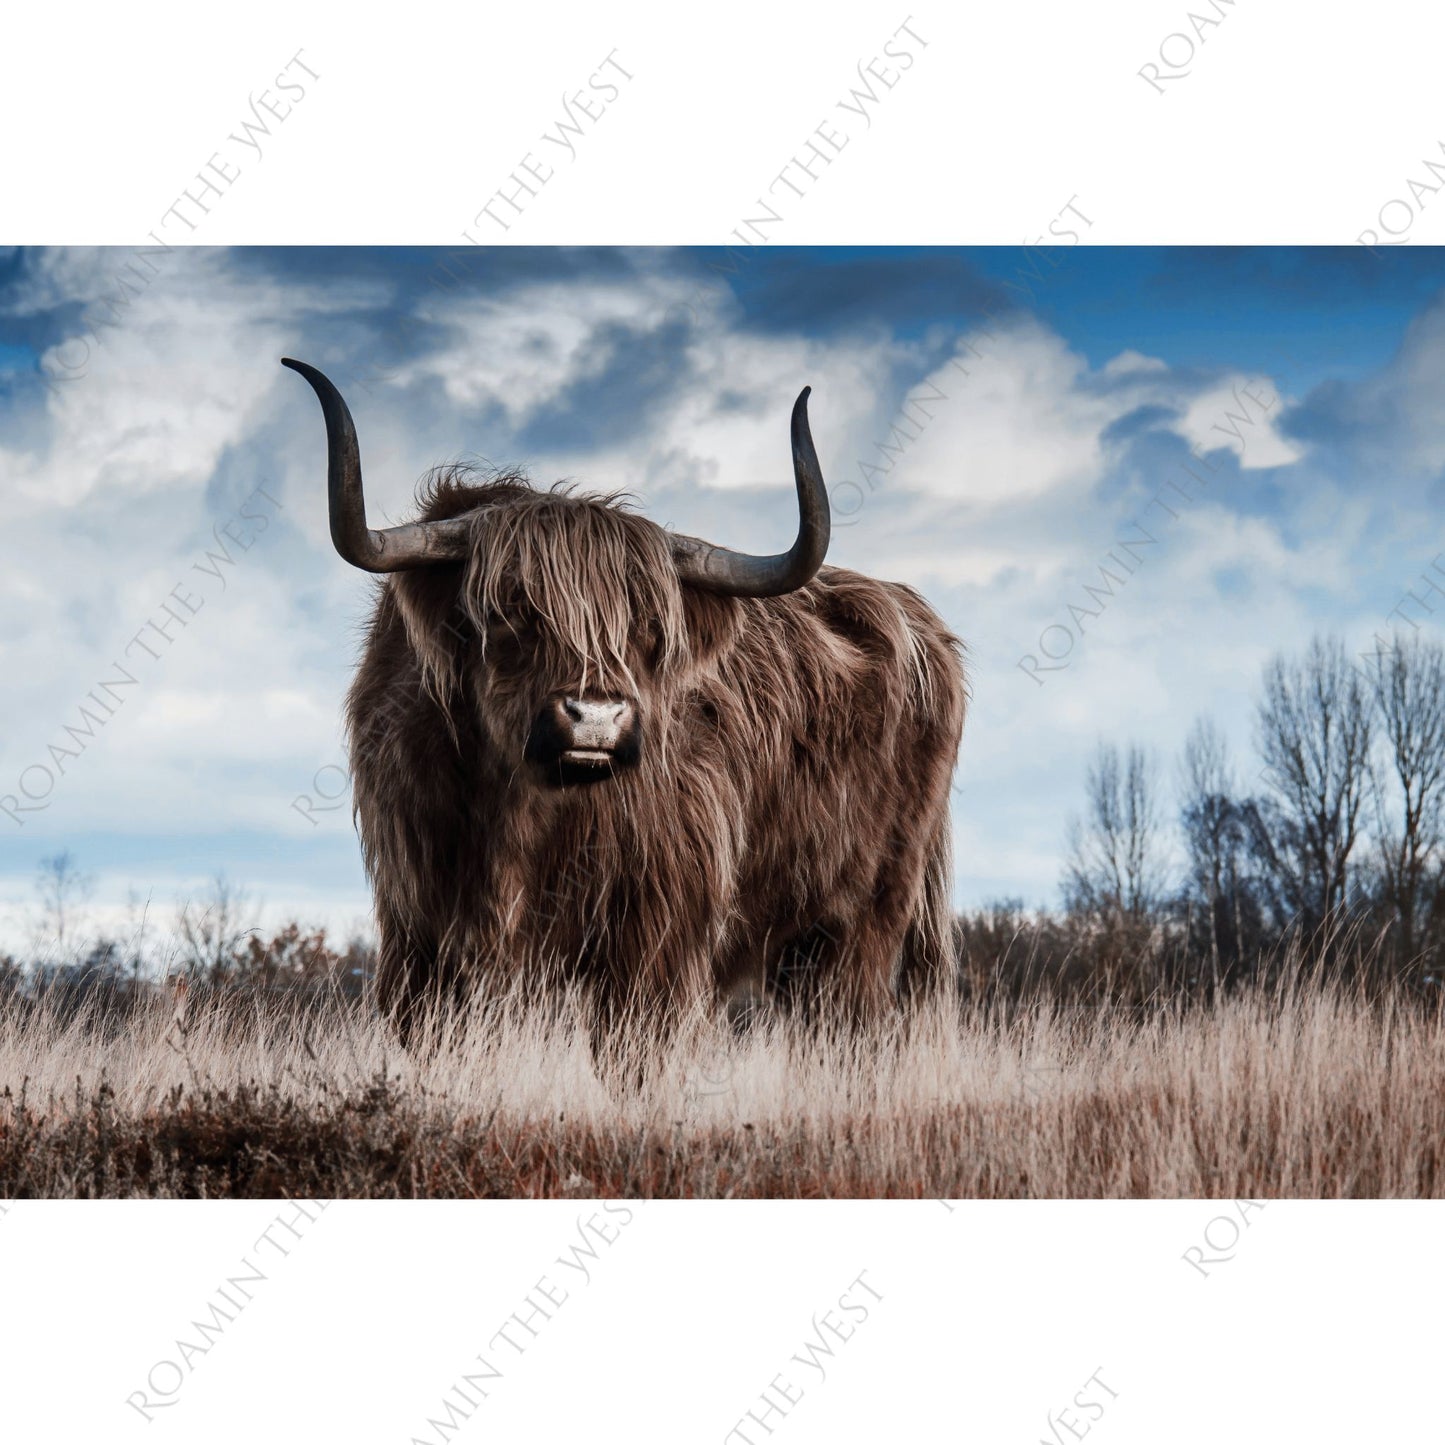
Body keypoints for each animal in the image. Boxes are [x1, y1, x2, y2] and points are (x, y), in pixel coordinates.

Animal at [283, 357, 966, 1050]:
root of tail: (919, 619)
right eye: (510, 612)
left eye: (649, 629)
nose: (596, 719)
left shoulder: (657, 932)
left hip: (864, 920)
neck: (520, 815)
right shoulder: (418, 928)